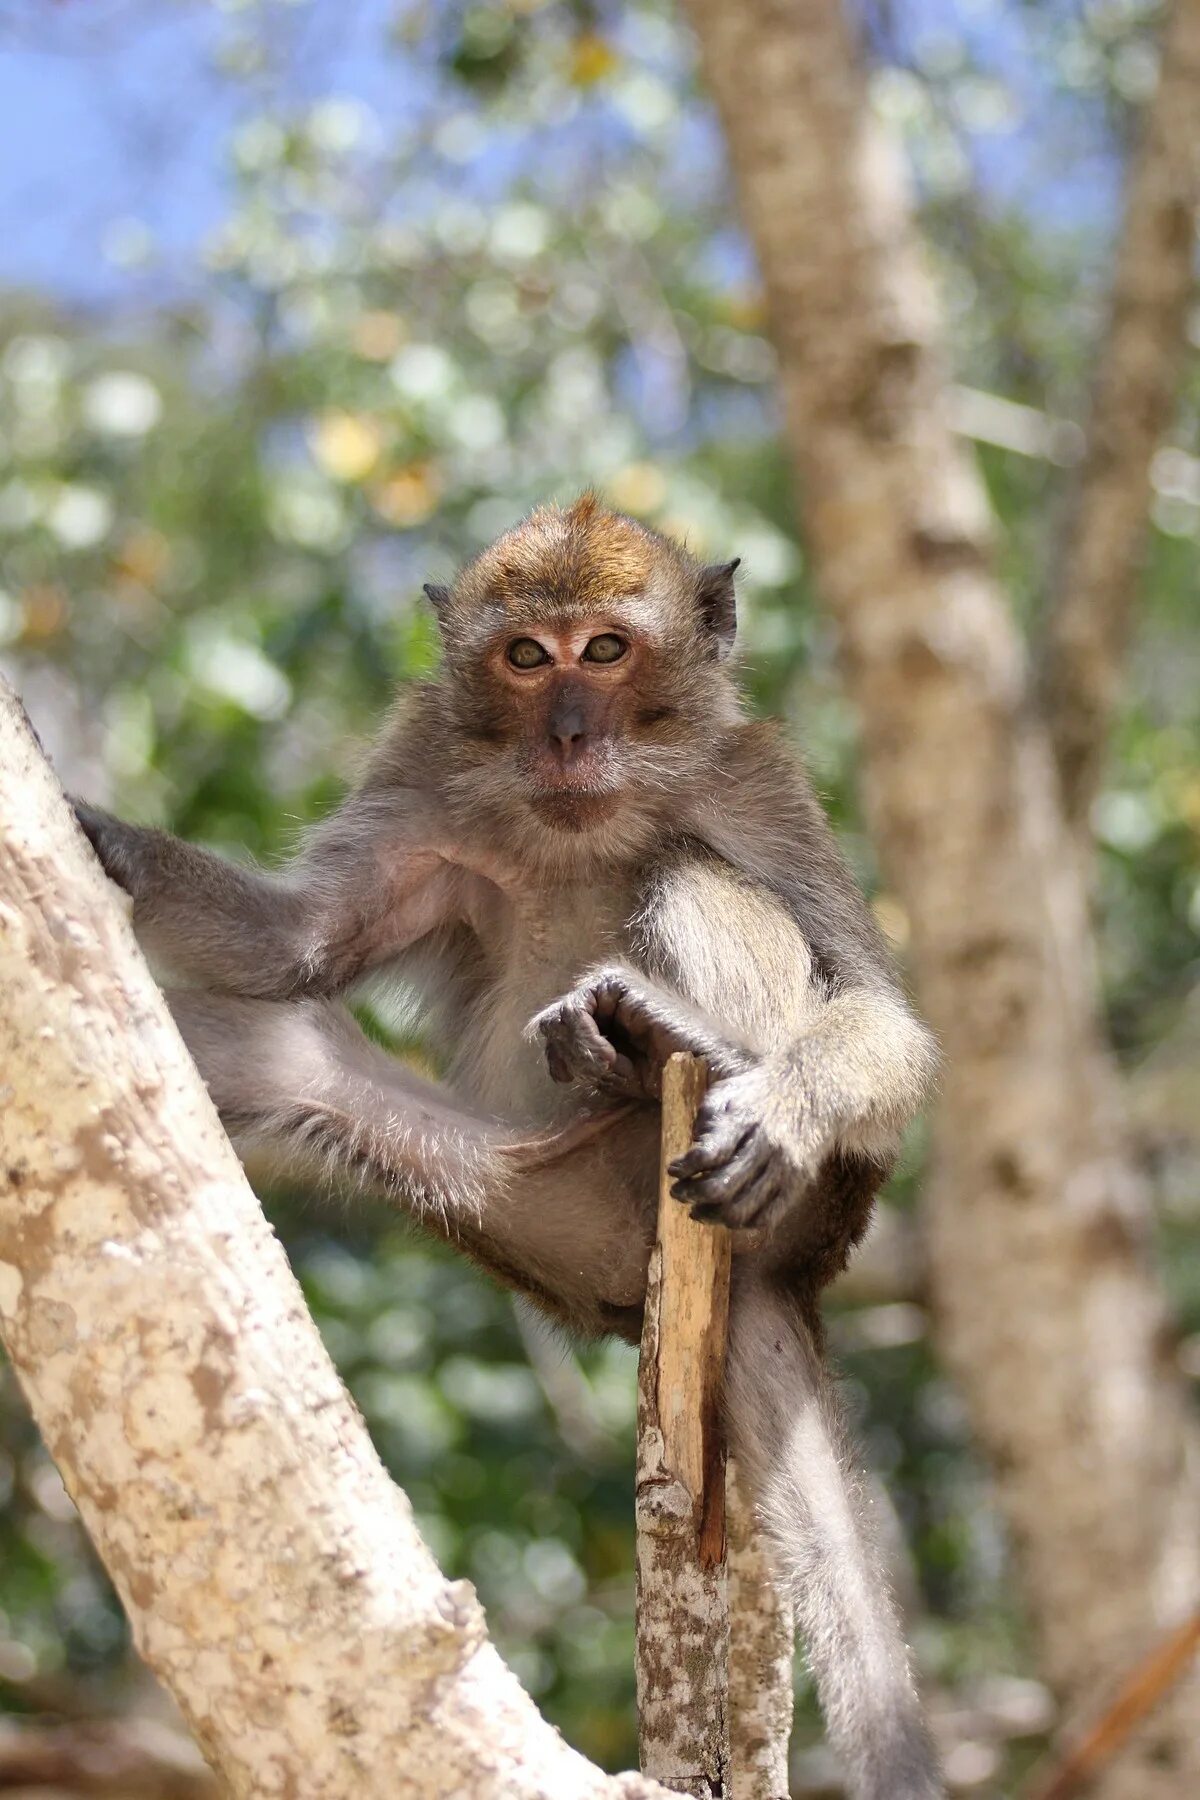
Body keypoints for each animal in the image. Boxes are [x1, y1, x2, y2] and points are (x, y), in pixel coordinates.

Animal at [72, 493, 949, 1800]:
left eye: (608, 650)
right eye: (528, 657)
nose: (571, 734)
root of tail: (770, 1275)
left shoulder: (756, 784)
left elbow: (883, 1016)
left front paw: (784, 1107)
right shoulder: (422, 774)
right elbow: (296, 951)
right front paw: (96, 836)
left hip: (790, 1198)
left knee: (692, 873)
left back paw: (675, 1045)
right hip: (531, 1211)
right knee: (271, 1055)